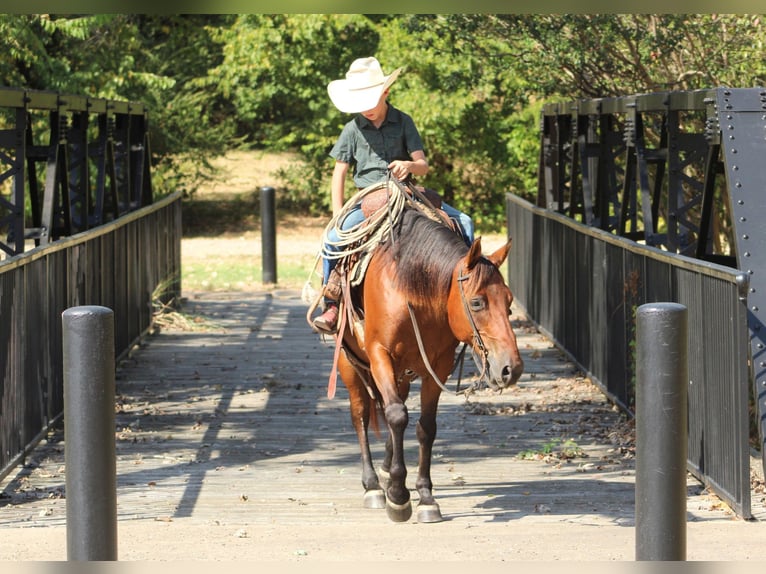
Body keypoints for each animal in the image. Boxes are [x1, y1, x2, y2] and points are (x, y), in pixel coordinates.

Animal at [332, 205, 524, 523]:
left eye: (509, 303)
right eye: (477, 303)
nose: (512, 368)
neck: (411, 288)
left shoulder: (439, 367)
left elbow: (426, 427)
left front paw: (424, 496)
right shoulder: (379, 355)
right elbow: (397, 416)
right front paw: (398, 496)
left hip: (401, 374)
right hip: (349, 364)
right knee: (361, 415)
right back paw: (373, 485)